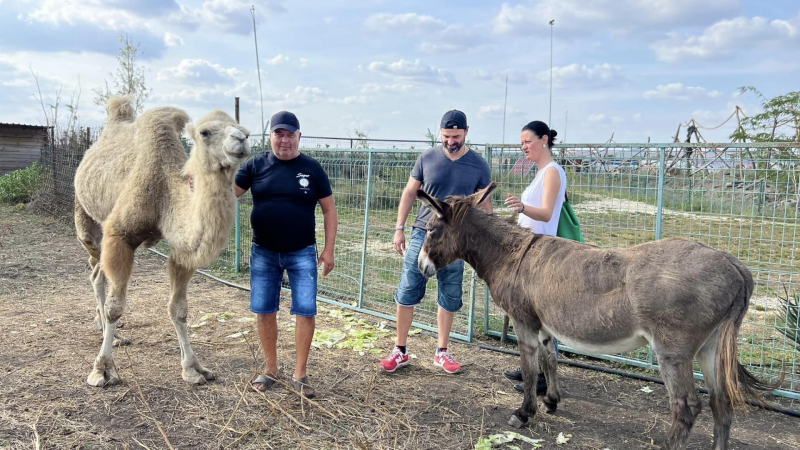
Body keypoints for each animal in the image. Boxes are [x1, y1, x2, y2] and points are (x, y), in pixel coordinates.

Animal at [75, 96, 252, 386]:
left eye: (243, 128)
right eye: (204, 132)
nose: (241, 139)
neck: (164, 194)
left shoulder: (182, 251)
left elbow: (178, 308)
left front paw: (194, 369)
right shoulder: (119, 236)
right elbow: (116, 306)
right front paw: (102, 369)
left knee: (98, 273)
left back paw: (106, 330)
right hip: (88, 221)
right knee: (95, 270)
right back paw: (109, 333)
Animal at [412, 181, 780, 448]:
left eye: (430, 230)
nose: (420, 266)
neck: (511, 254)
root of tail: (735, 266)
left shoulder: (523, 321)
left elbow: (530, 370)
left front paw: (525, 413)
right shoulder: (545, 324)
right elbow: (550, 361)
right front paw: (552, 401)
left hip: (672, 349)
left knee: (687, 405)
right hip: (711, 346)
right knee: (721, 404)